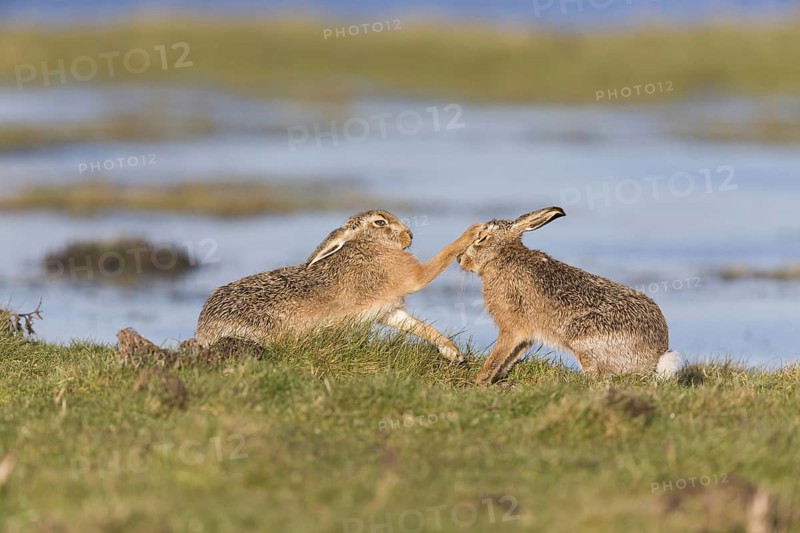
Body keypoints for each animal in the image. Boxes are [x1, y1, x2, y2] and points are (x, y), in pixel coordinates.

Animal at [196, 210, 481, 362]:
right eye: (380, 222)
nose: (409, 236)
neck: (369, 243)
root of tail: (203, 332)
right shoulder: (411, 276)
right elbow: (440, 257)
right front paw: (473, 231)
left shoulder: (388, 310)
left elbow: (417, 326)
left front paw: (452, 353)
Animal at [456, 206, 683, 384]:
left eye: (482, 238)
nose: (459, 259)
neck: (501, 258)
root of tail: (656, 357)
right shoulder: (525, 335)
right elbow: (510, 357)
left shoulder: (511, 328)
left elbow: (498, 355)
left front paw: (479, 380)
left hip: (584, 338)